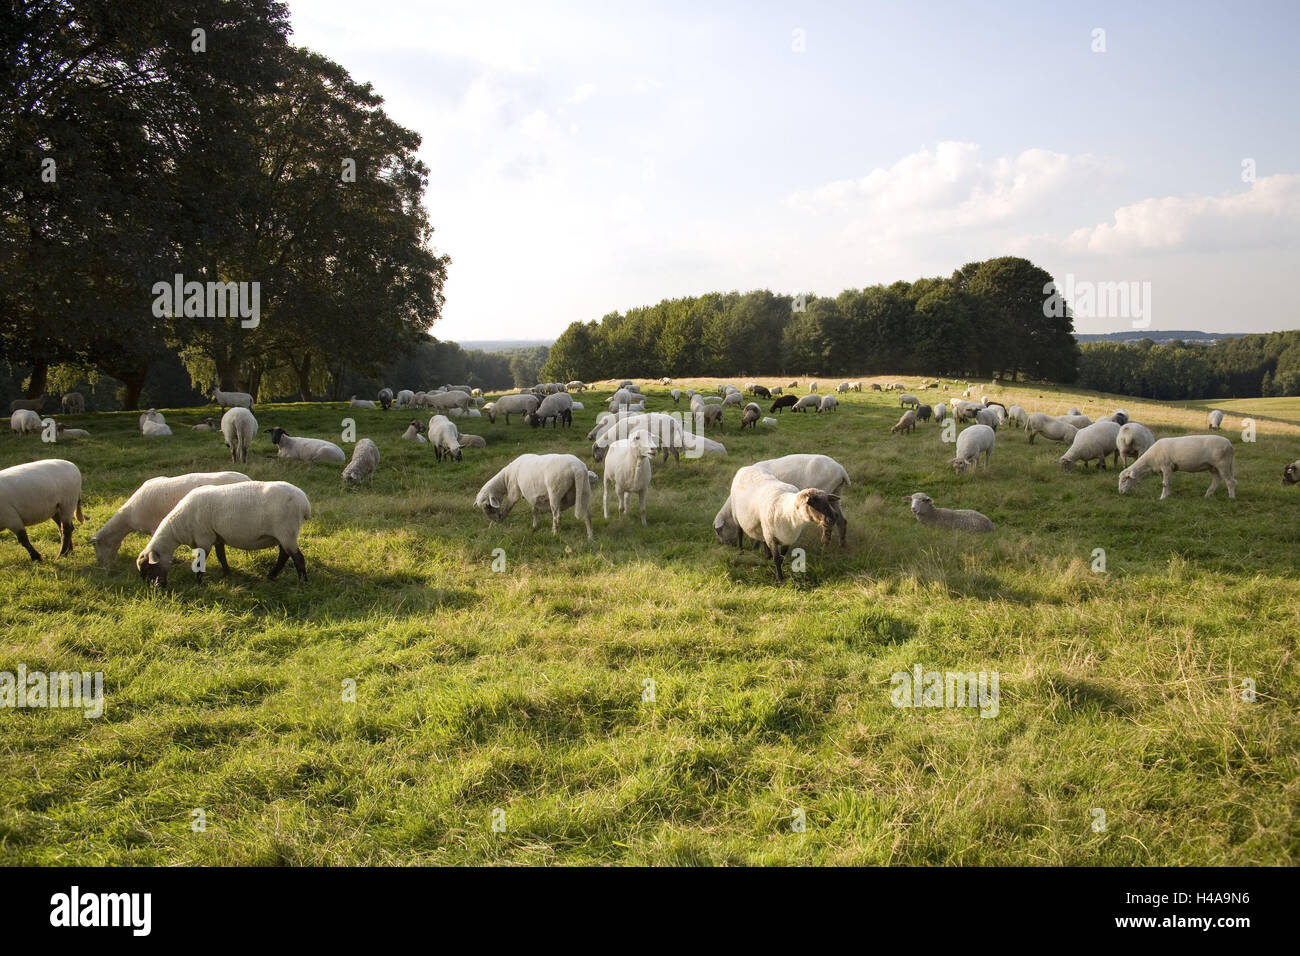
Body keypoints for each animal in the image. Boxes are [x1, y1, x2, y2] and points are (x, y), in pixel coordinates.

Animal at [136, 480, 311, 587]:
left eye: (148, 568)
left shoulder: (204, 538)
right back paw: (272, 575)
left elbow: (199, 562)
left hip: (287, 531)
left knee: (297, 557)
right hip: (283, 534)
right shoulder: (217, 536)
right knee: (284, 555)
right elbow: (221, 556)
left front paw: (199, 583)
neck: (179, 525)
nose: (158, 588)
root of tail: (305, 502)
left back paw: (302, 581)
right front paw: (227, 573)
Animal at [714, 453, 850, 548]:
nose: (725, 545)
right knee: (840, 519)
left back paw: (824, 544)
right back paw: (841, 545)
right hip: (836, 492)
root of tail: (842, 470)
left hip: (825, 491)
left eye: (719, 531)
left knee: (829, 522)